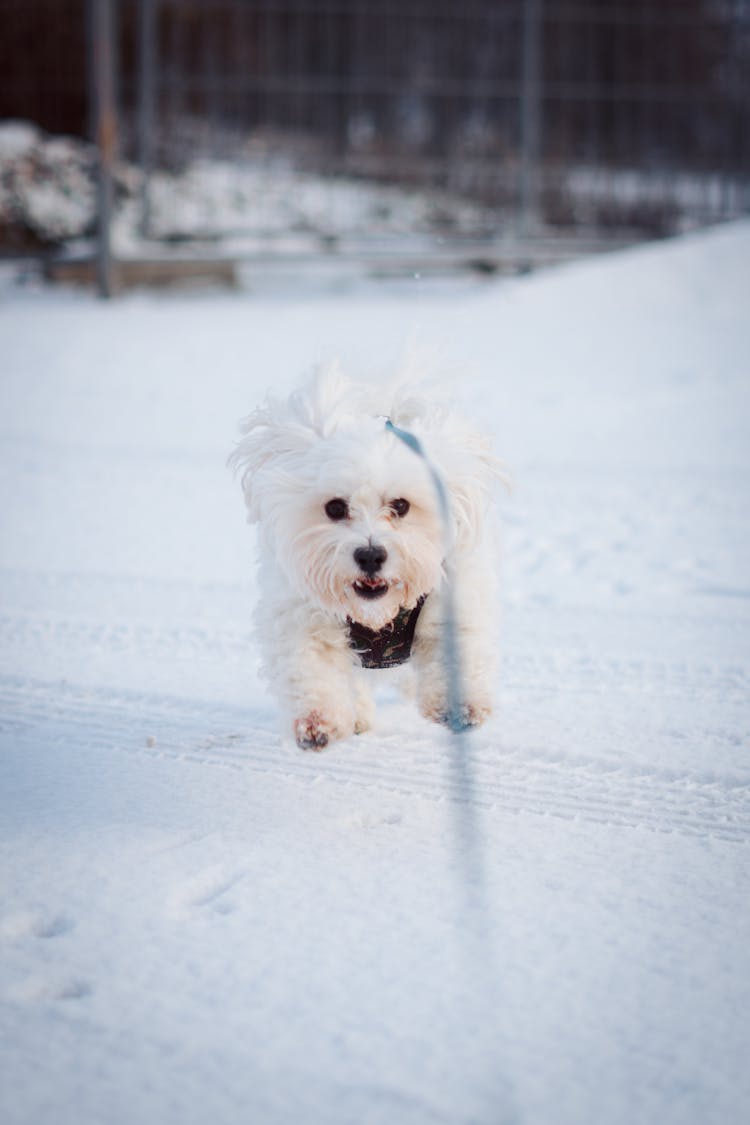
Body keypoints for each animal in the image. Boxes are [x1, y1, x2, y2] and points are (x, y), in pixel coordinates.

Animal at [229, 364, 499, 751]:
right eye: (335, 507)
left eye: (400, 505)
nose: (370, 555)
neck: (376, 616)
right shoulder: (302, 613)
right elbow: (312, 665)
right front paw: (318, 720)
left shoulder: (452, 598)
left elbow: (455, 648)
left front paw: (461, 706)